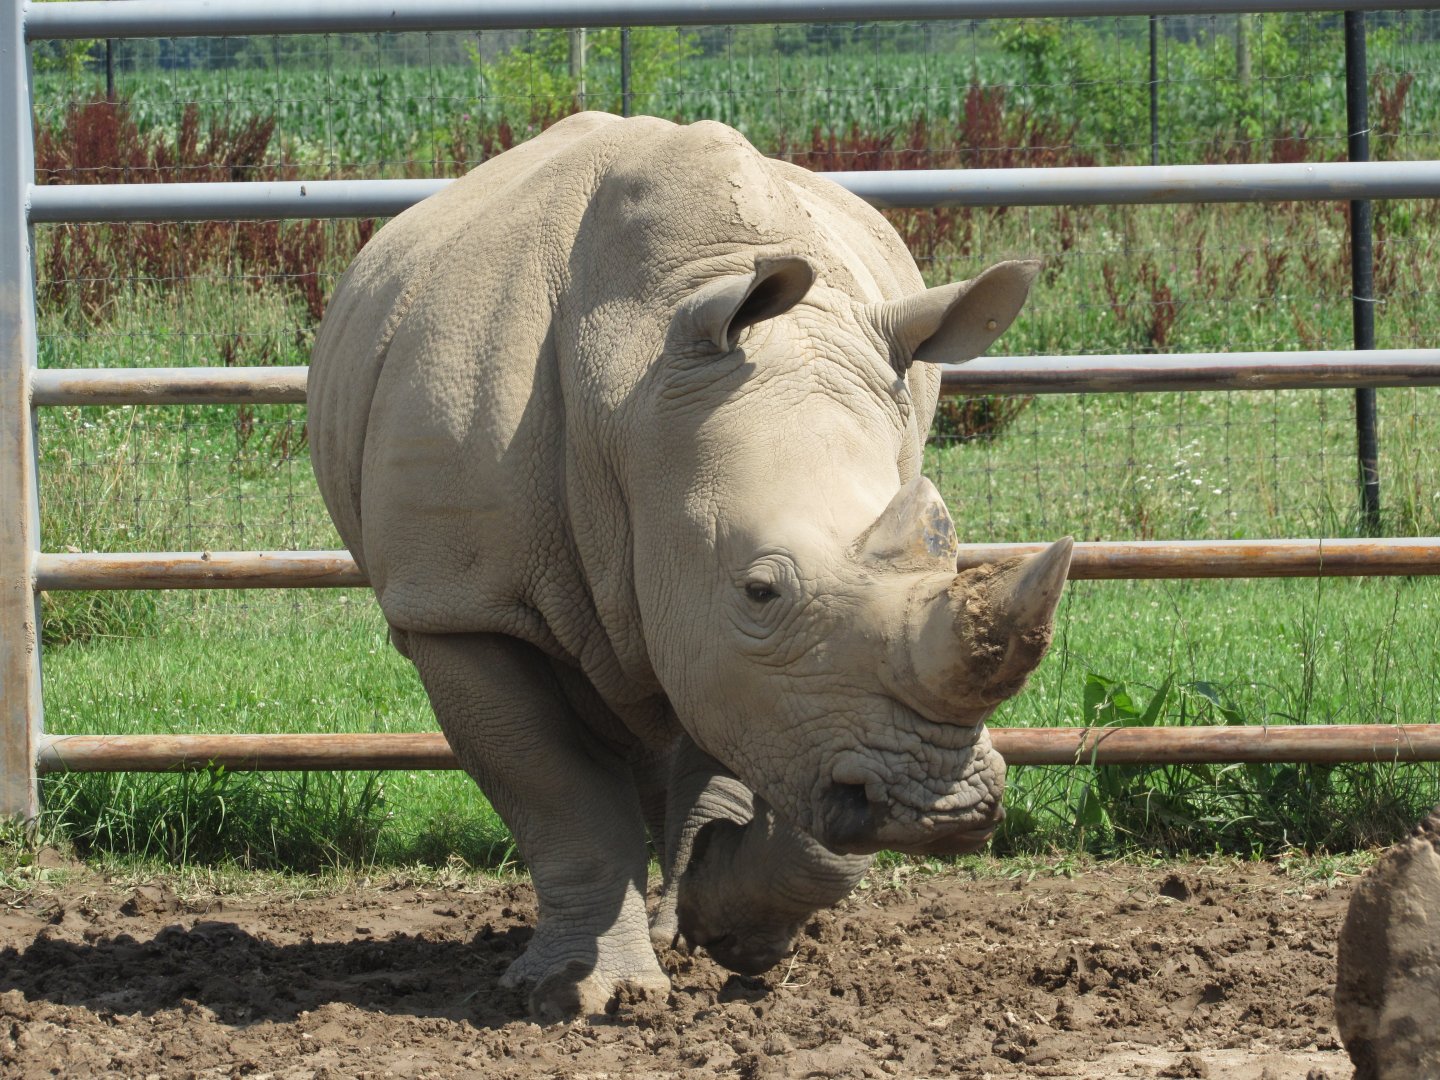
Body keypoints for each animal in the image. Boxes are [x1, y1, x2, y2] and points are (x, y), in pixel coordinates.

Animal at [309, 112, 1072, 1021]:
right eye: (760, 590)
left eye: (948, 543)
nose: (941, 806)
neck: (633, 387)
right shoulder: (462, 605)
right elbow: (557, 792)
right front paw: (581, 993)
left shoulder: (765, 663)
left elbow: (749, 743)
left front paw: (728, 918)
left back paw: (683, 916)